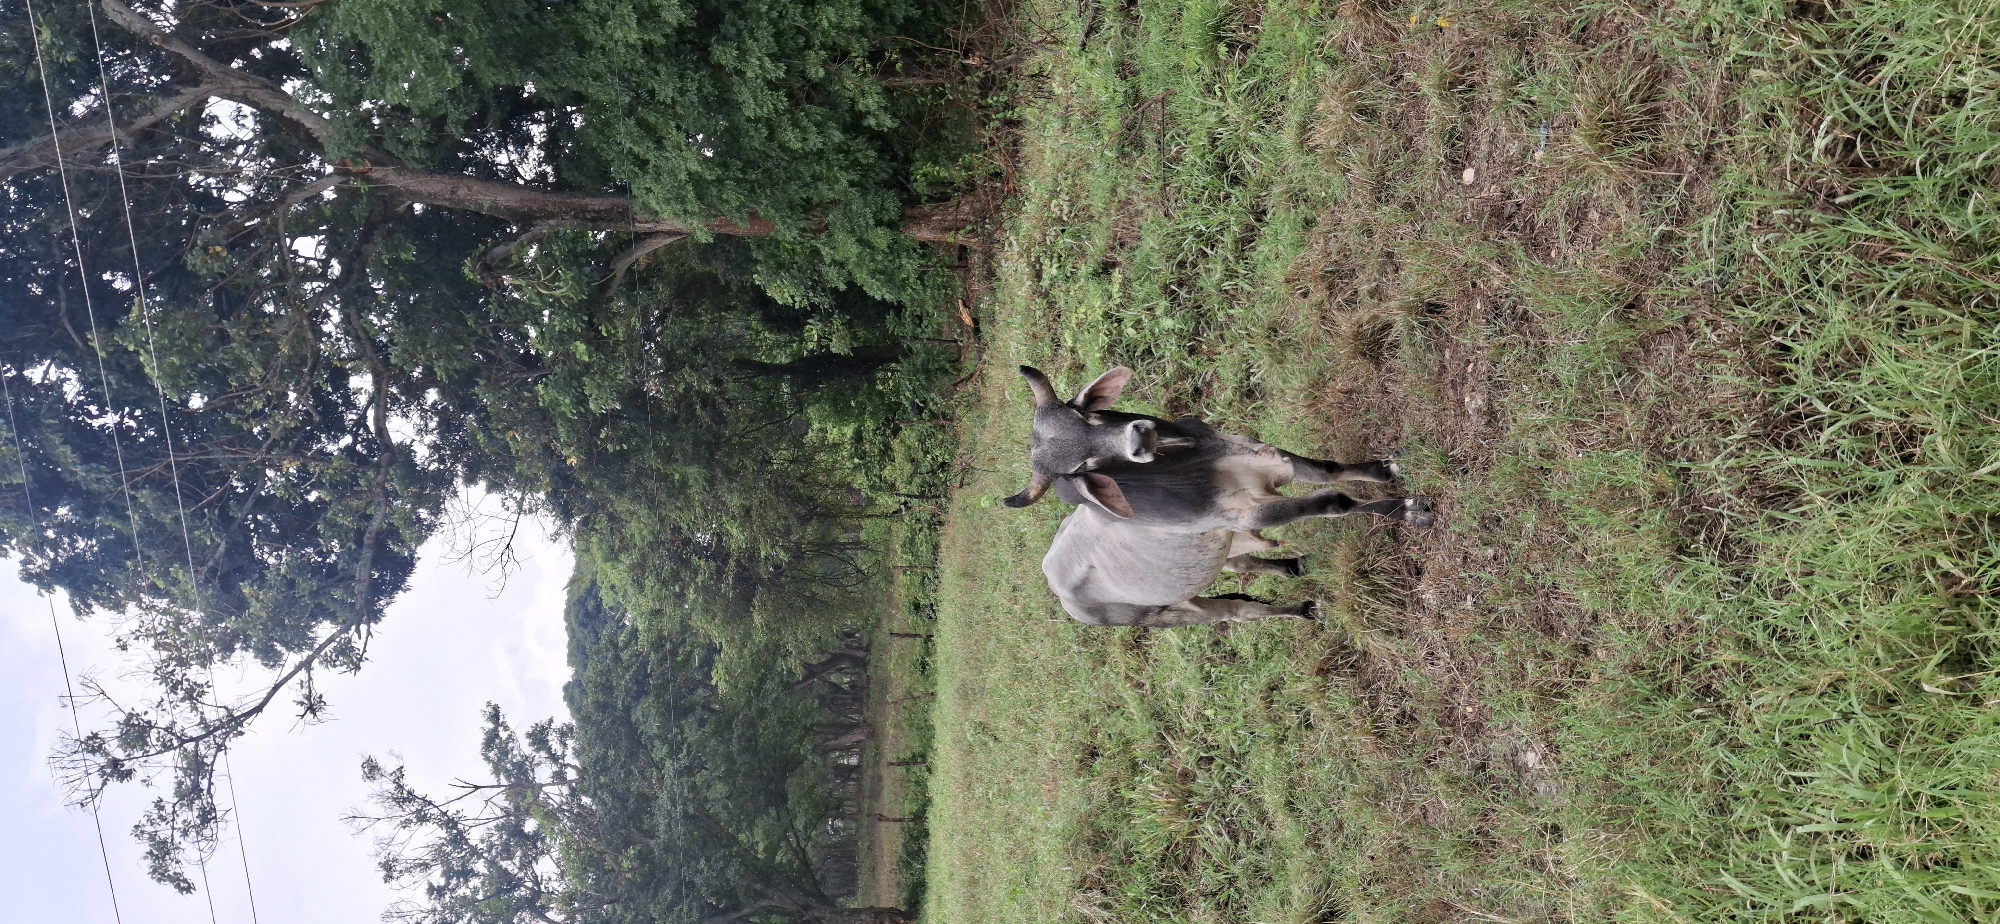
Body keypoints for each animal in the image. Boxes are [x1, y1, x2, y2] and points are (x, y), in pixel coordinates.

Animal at [1002, 365, 1432, 626]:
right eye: (1078, 470)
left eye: (1085, 415)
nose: (1139, 438)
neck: (1195, 461)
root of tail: (1055, 581)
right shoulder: (1248, 515)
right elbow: (1332, 502)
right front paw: (1408, 509)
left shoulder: (1266, 456)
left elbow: (1328, 469)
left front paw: (1386, 468)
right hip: (1172, 611)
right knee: (1239, 611)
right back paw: (1304, 609)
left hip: (1214, 553)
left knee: (1240, 563)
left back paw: (1295, 566)